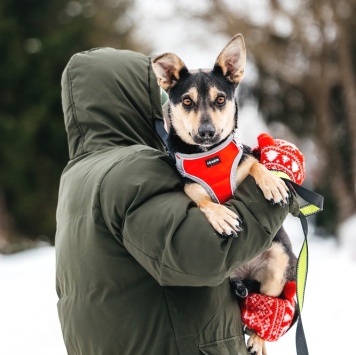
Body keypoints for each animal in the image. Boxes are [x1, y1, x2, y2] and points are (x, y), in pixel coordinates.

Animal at [152, 34, 298, 355]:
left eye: (220, 99)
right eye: (187, 101)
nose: (206, 132)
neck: (209, 156)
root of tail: (244, 274)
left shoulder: (243, 160)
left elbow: (254, 162)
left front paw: (272, 182)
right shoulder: (189, 185)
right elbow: (202, 198)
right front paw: (222, 216)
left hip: (279, 260)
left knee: (266, 303)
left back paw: (258, 337)